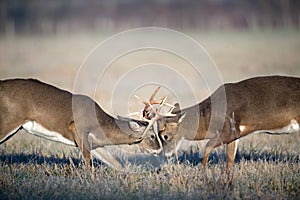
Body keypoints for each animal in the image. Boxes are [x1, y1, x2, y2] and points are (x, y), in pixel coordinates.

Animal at [0, 78, 162, 167]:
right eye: (152, 135)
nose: (160, 150)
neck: (101, 126)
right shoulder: (77, 129)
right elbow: (88, 163)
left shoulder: (95, 144)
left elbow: (116, 164)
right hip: (9, 121)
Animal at [143, 76, 300, 173]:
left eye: (165, 135)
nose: (161, 153)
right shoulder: (234, 135)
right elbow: (230, 159)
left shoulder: (230, 129)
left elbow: (207, 147)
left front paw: (202, 172)